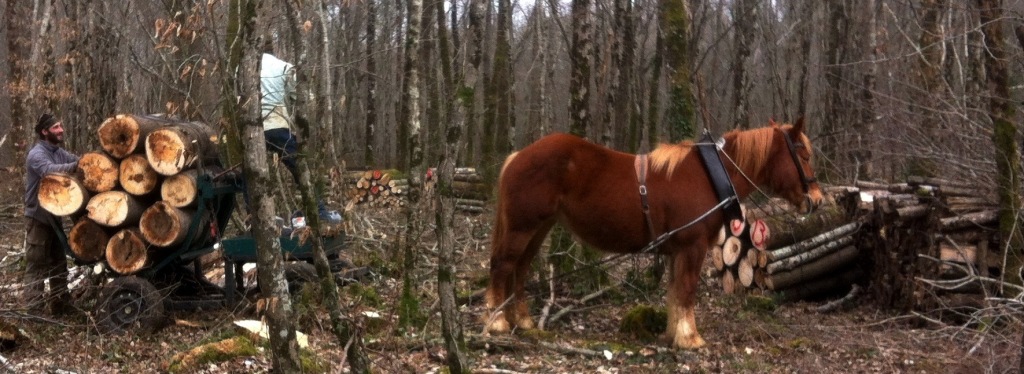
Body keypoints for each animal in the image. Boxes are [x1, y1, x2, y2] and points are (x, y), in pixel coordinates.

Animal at [481, 117, 823, 348]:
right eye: (803, 156)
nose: (817, 200)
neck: (709, 176)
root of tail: (518, 156)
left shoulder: (677, 251)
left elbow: (675, 293)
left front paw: (673, 334)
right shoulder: (692, 247)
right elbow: (686, 291)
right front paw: (690, 339)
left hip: (539, 227)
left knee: (520, 269)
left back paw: (522, 320)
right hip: (523, 227)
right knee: (503, 266)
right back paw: (497, 322)